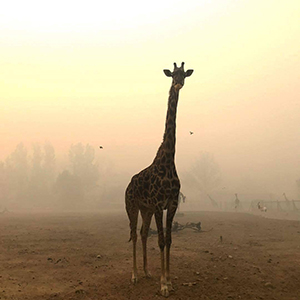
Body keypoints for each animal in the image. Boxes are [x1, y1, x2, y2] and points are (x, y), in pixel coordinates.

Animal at [125, 62, 193, 296]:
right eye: (172, 75)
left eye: (184, 75)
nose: (178, 84)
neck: (168, 160)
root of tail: (127, 185)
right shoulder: (157, 205)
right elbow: (162, 241)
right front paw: (163, 285)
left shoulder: (170, 204)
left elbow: (169, 240)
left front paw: (169, 281)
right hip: (132, 206)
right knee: (135, 234)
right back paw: (134, 275)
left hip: (144, 209)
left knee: (144, 233)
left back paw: (146, 272)